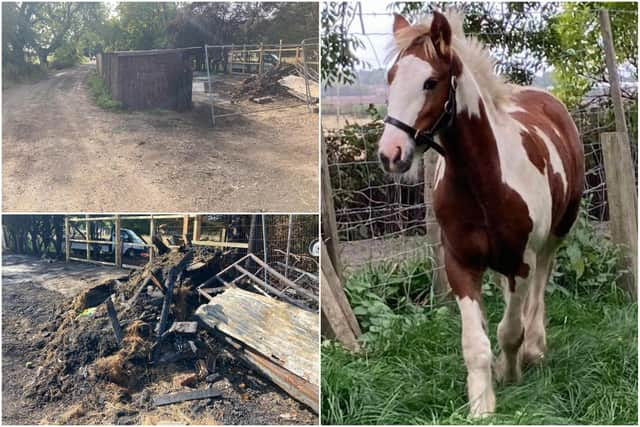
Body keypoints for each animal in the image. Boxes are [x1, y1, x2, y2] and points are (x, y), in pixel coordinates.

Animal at [380, 10, 584, 418]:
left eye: (430, 82)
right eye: (391, 79)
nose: (390, 153)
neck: (483, 181)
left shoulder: (520, 262)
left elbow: (509, 330)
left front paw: (511, 372)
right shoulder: (460, 263)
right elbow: (475, 343)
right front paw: (481, 404)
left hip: (554, 237)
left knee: (539, 286)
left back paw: (535, 348)